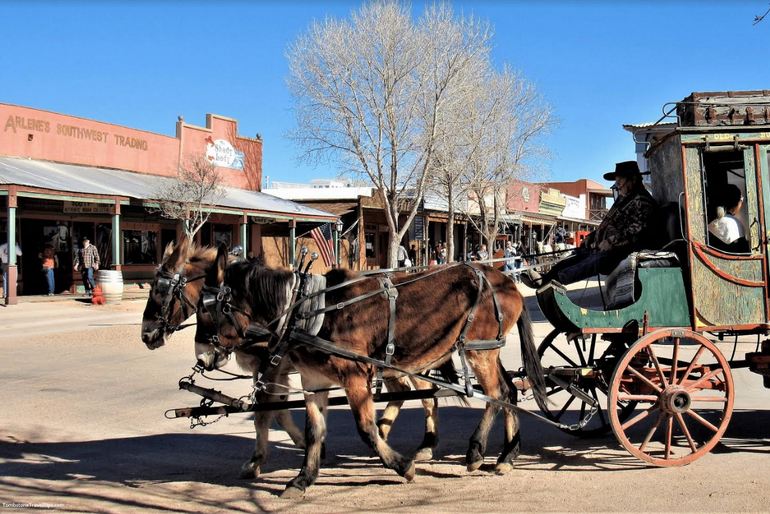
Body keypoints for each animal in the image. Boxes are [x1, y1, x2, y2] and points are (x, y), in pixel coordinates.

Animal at [208, 244, 544, 496]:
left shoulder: (354, 377)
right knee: (509, 392)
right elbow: (315, 431)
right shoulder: (313, 380)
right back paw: (507, 456)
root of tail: (507, 282)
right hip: (488, 349)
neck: (310, 311)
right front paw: (302, 479)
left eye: (213, 308)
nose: (209, 354)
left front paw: (402, 466)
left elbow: (366, 428)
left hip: (478, 352)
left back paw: (475, 452)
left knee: (494, 395)